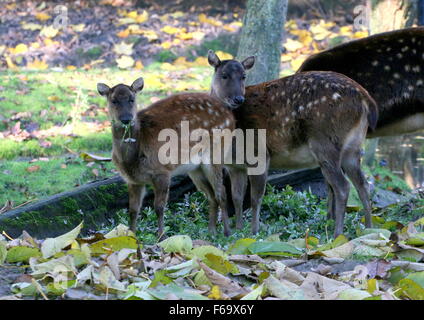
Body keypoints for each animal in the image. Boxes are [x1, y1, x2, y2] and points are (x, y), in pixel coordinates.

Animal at [96, 77, 235, 238]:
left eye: (132, 99)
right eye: (113, 101)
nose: (126, 119)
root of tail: (231, 116)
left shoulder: (162, 171)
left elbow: (159, 207)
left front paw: (161, 236)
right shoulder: (133, 180)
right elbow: (133, 210)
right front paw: (131, 236)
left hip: (215, 153)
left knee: (221, 192)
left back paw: (227, 232)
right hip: (195, 169)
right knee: (211, 195)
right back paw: (211, 232)